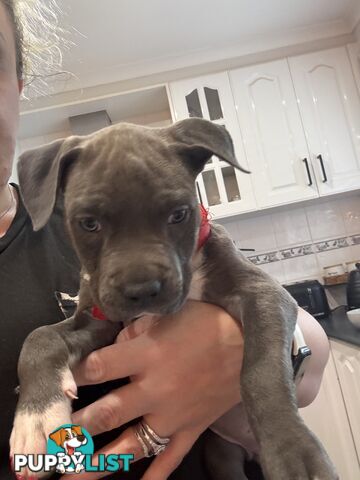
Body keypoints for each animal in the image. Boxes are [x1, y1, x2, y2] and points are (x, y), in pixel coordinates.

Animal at [9, 117, 336, 480]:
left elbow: (262, 369)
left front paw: (292, 449)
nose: (142, 290)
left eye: (179, 214)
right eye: (89, 223)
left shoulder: (263, 293)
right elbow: (40, 336)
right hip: (222, 456)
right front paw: (36, 418)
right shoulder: (98, 321)